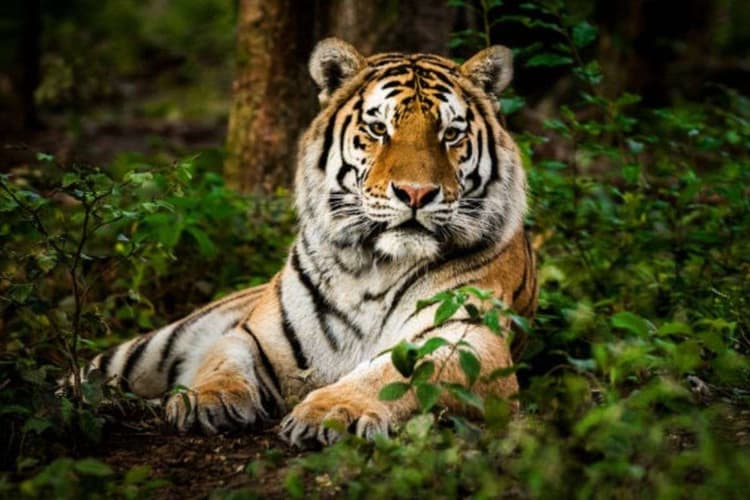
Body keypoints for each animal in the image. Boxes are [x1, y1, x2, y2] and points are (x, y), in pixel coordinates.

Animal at [69, 38, 537, 447]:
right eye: (378, 128)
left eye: (450, 134)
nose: (416, 193)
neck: (374, 266)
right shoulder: (254, 335)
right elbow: (222, 360)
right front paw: (206, 399)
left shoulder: (469, 341)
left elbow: (393, 375)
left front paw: (332, 412)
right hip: (150, 348)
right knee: (84, 373)